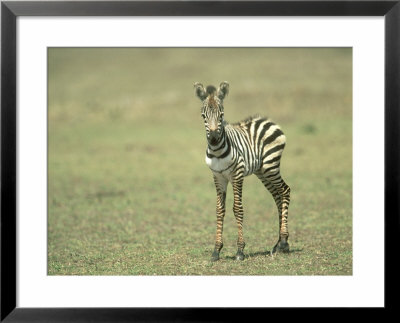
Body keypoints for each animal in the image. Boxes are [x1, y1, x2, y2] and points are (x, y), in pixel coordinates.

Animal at [195, 82, 290, 262]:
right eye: (203, 116)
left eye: (221, 115)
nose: (214, 140)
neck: (217, 151)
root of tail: (268, 120)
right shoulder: (218, 176)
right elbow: (220, 210)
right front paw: (216, 251)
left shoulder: (237, 174)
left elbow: (237, 209)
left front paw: (240, 250)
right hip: (262, 172)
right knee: (277, 196)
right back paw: (280, 244)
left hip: (271, 166)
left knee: (285, 191)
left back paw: (283, 242)